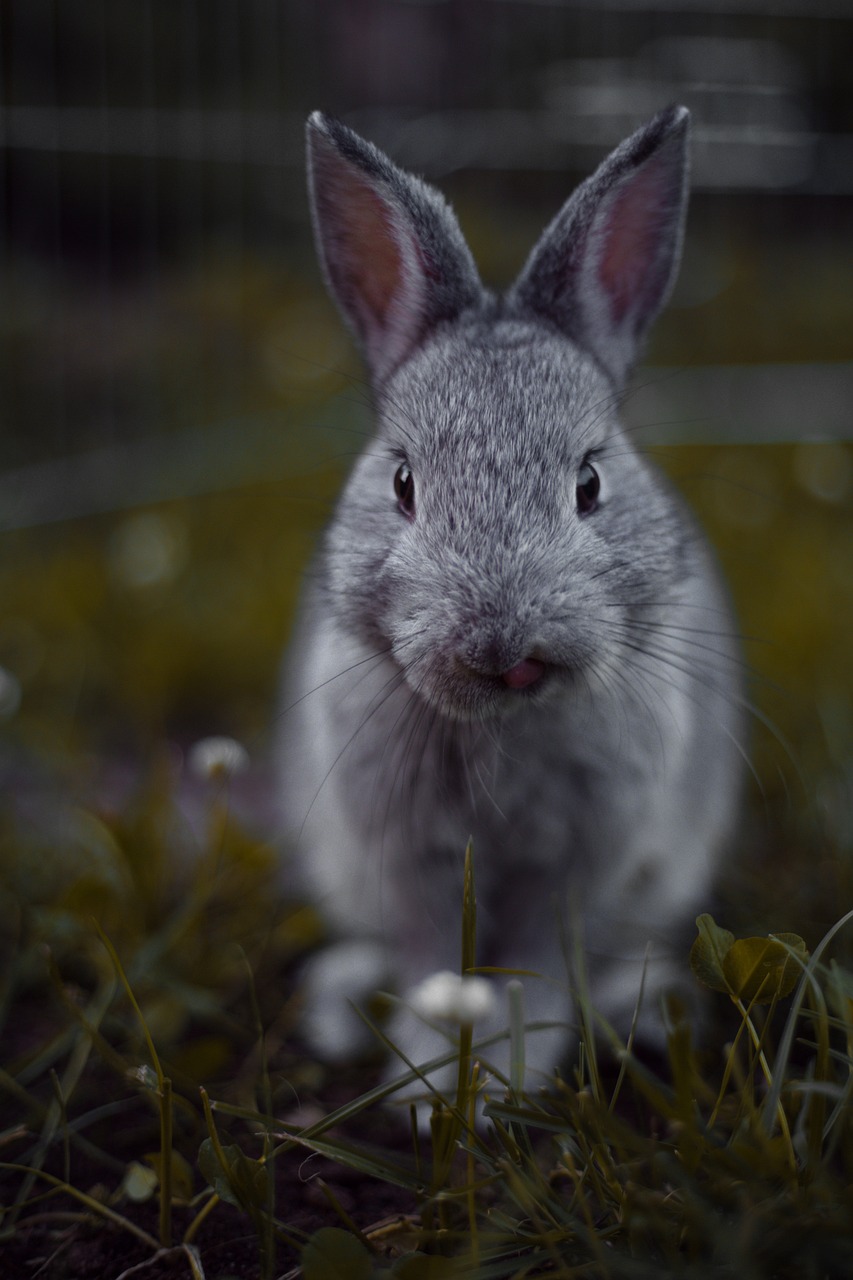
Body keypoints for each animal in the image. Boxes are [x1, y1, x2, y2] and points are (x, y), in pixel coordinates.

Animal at [277, 107, 737, 1111]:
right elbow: (426, 957)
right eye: (403, 484)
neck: (499, 723)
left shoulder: (574, 863)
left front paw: (506, 1074)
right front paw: (426, 1083)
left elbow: (537, 960)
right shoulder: (403, 856)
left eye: (590, 482)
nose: (505, 645)